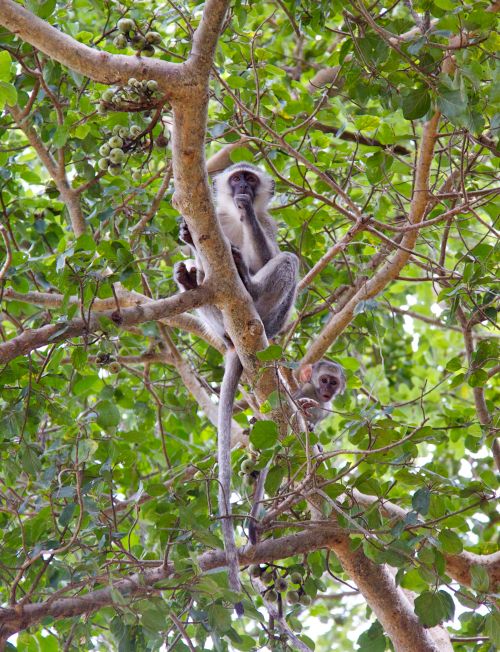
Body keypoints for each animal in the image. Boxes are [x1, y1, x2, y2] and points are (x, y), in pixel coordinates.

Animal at [174, 163, 299, 614]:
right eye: (236, 178)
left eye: (249, 178)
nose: (242, 188)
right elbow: (200, 245)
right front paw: (188, 237)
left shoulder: (268, 222)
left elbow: (271, 249)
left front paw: (247, 217)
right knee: (205, 275)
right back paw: (191, 283)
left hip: (272, 322)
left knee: (286, 261)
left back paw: (248, 281)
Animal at [248, 359, 346, 546]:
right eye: (324, 380)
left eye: (334, 383)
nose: (327, 390)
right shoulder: (305, 390)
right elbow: (296, 402)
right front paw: (303, 407)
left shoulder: (325, 407)